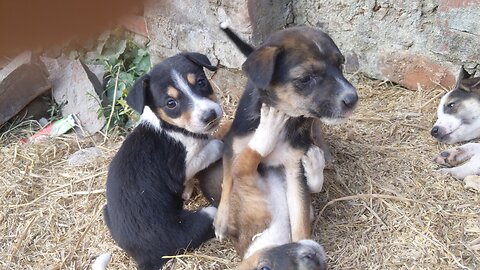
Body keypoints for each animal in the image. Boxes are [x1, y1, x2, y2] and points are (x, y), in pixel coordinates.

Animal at [103, 51, 223, 268]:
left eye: (201, 82)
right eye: (171, 103)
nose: (210, 116)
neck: (170, 126)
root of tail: (144, 257)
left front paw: (186, 192)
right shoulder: (183, 166)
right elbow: (215, 145)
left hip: (105, 211)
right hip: (207, 215)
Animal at [214, 25, 356, 262]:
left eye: (341, 64)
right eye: (306, 78)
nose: (353, 99)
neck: (285, 118)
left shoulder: (294, 167)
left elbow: (300, 216)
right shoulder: (233, 146)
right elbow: (228, 180)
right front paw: (221, 220)